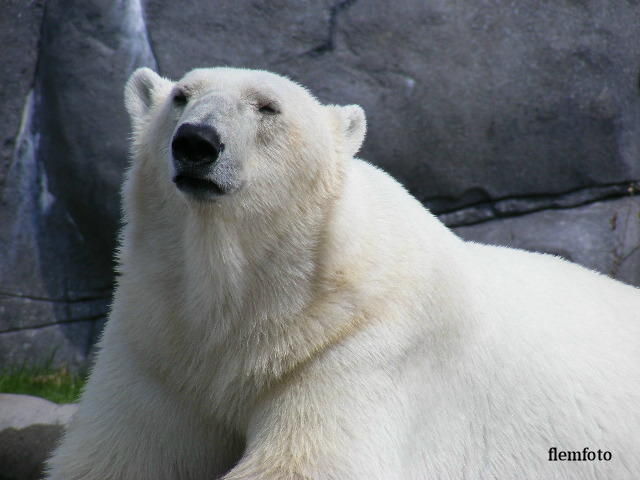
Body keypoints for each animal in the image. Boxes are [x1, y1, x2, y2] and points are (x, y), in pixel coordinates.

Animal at [47, 67, 640, 480]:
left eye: (268, 107)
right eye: (180, 97)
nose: (196, 141)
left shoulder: (358, 342)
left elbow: (307, 462)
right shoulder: (159, 345)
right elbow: (114, 457)